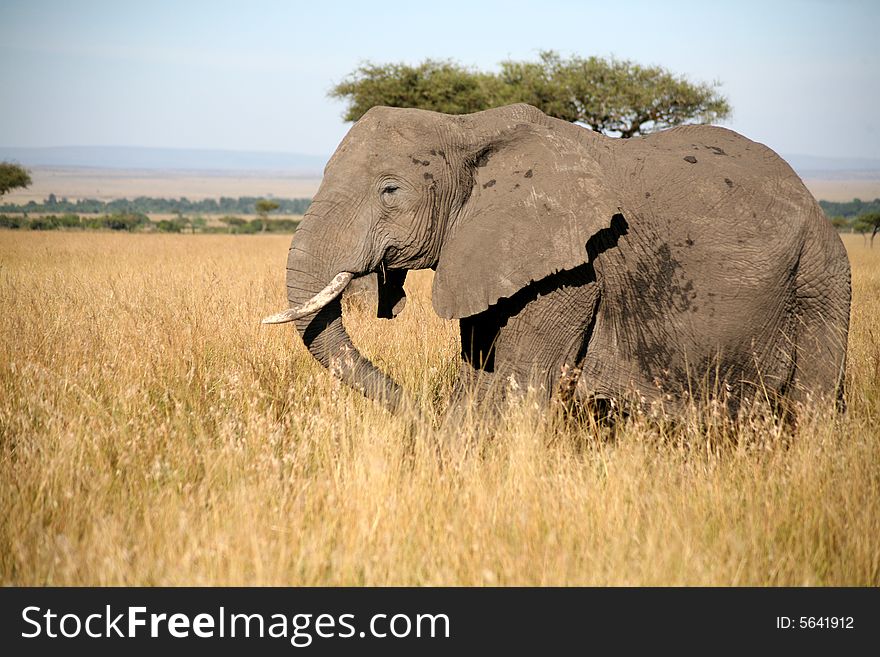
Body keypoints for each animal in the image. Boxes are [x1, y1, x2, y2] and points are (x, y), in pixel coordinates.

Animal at [262, 104, 852, 418]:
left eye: (390, 191)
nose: (418, 409)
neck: (466, 127)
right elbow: (482, 371)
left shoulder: (573, 270)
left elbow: (519, 384)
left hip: (820, 277)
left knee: (812, 402)